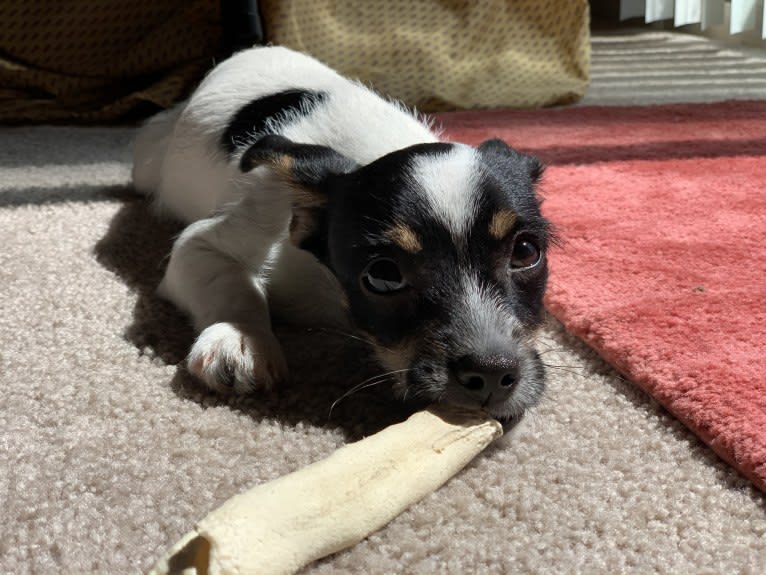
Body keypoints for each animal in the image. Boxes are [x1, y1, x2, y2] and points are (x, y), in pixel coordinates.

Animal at [134, 46, 552, 424]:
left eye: (526, 252)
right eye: (383, 276)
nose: (492, 374)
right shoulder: (202, 245)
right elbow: (233, 285)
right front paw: (240, 338)